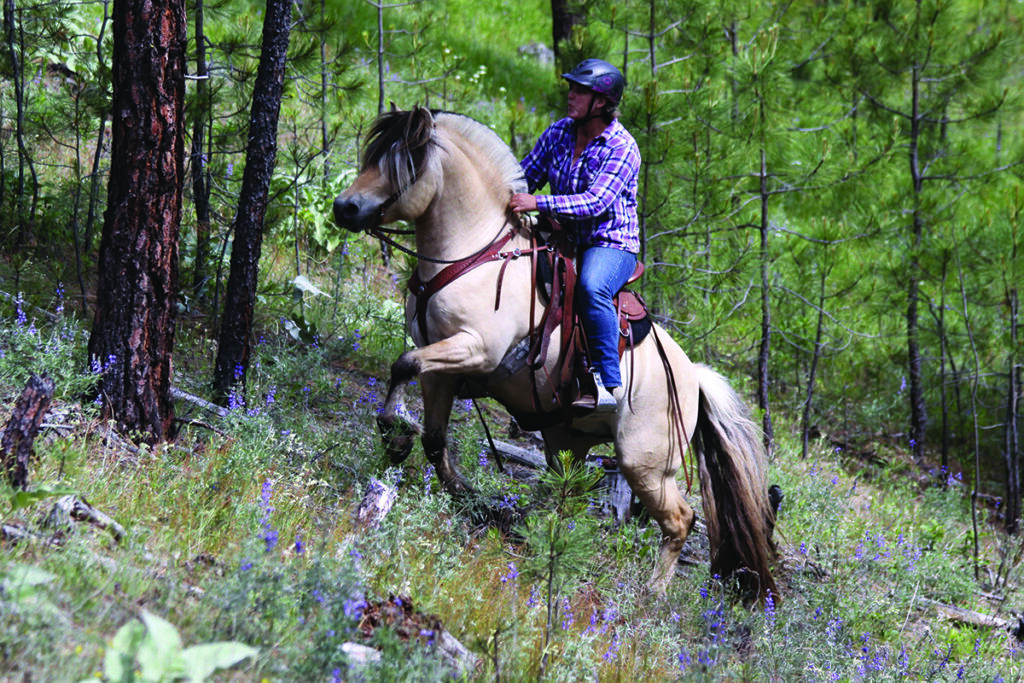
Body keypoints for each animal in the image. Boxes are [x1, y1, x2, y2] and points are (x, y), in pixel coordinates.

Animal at [333, 104, 774, 602]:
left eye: (403, 164)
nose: (344, 207)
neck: (473, 253)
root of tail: (693, 377)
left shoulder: (475, 351)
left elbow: (403, 368)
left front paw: (396, 436)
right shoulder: (438, 362)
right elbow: (428, 426)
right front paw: (449, 480)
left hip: (644, 464)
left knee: (681, 519)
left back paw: (652, 593)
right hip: (567, 441)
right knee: (572, 494)